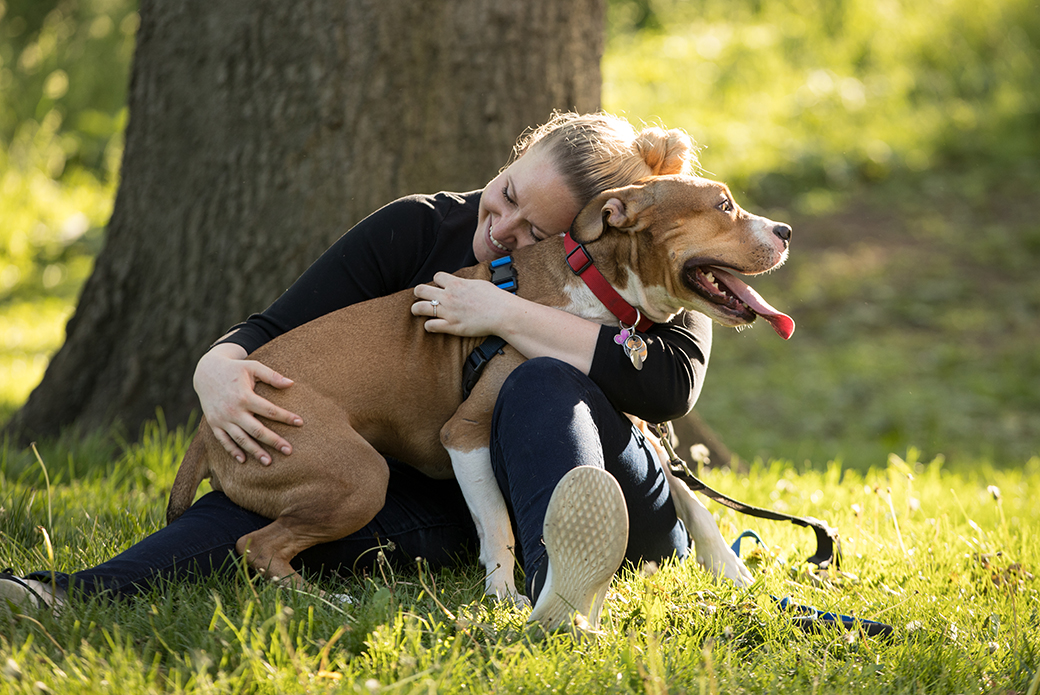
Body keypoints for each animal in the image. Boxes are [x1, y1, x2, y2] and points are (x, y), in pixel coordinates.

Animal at [166, 173, 790, 603]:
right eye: (723, 206)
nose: (784, 231)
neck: (597, 287)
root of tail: (206, 430)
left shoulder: (641, 423)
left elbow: (691, 496)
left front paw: (733, 572)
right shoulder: (464, 434)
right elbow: (497, 523)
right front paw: (503, 594)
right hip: (359, 476)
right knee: (257, 546)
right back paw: (329, 600)